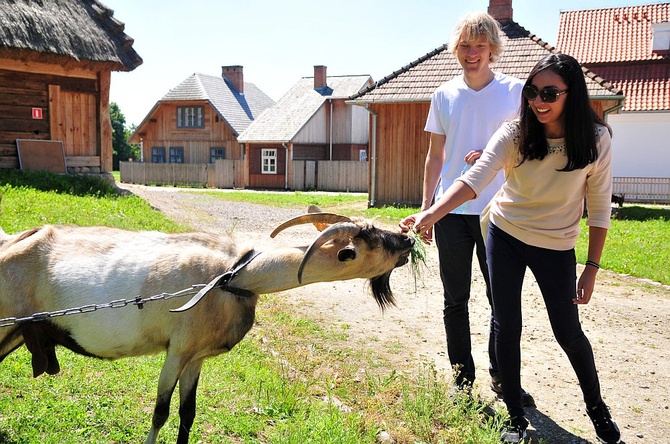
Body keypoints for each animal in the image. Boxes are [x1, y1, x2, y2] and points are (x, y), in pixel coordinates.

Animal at [0, 212, 414, 444]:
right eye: (372, 240)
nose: (407, 239)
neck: (231, 276)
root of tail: (10, 244)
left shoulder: (196, 358)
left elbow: (188, 414)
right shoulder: (177, 350)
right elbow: (160, 413)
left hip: (14, 333)